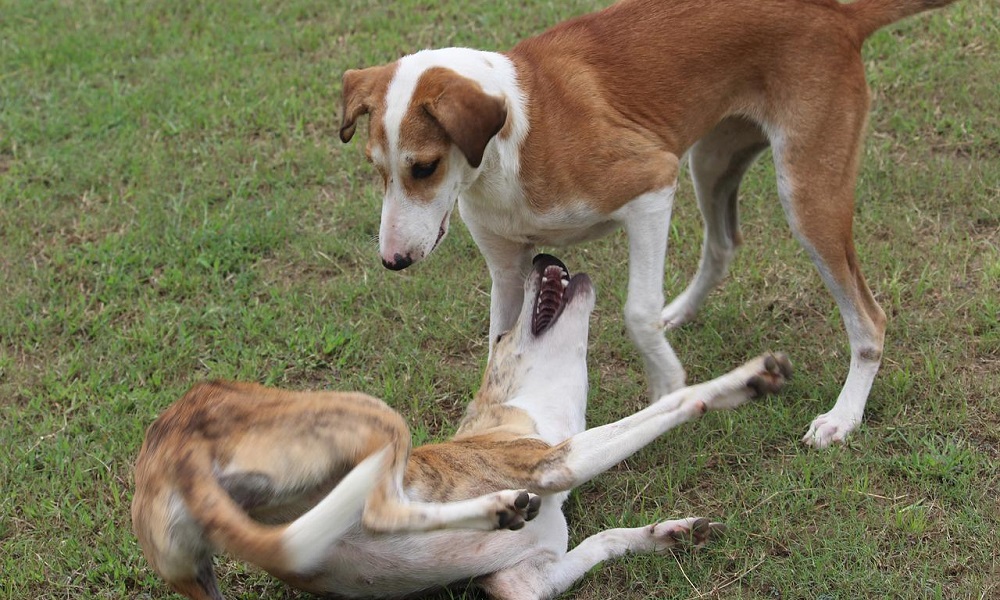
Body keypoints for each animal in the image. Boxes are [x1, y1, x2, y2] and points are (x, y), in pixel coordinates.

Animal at [133, 254, 792, 600]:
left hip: (200, 576)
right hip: (377, 422)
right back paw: (496, 507)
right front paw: (740, 382)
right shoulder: (552, 461)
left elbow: (603, 541)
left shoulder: (525, 584)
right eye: (499, 337)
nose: (542, 258)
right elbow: (669, 406)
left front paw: (670, 533)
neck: (519, 413)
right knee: (381, 509)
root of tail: (176, 446)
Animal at [340, 0, 956, 448]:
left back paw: (843, 416)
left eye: (424, 166)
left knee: (870, 321)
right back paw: (679, 311)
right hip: (712, 160)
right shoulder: (510, 270)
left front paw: (667, 388)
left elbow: (635, 311)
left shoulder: (651, 186)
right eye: (375, 168)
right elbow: (502, 346)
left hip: (806, 196)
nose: (393, 261)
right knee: (724, 244)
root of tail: (836, 13)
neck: (514, 136)